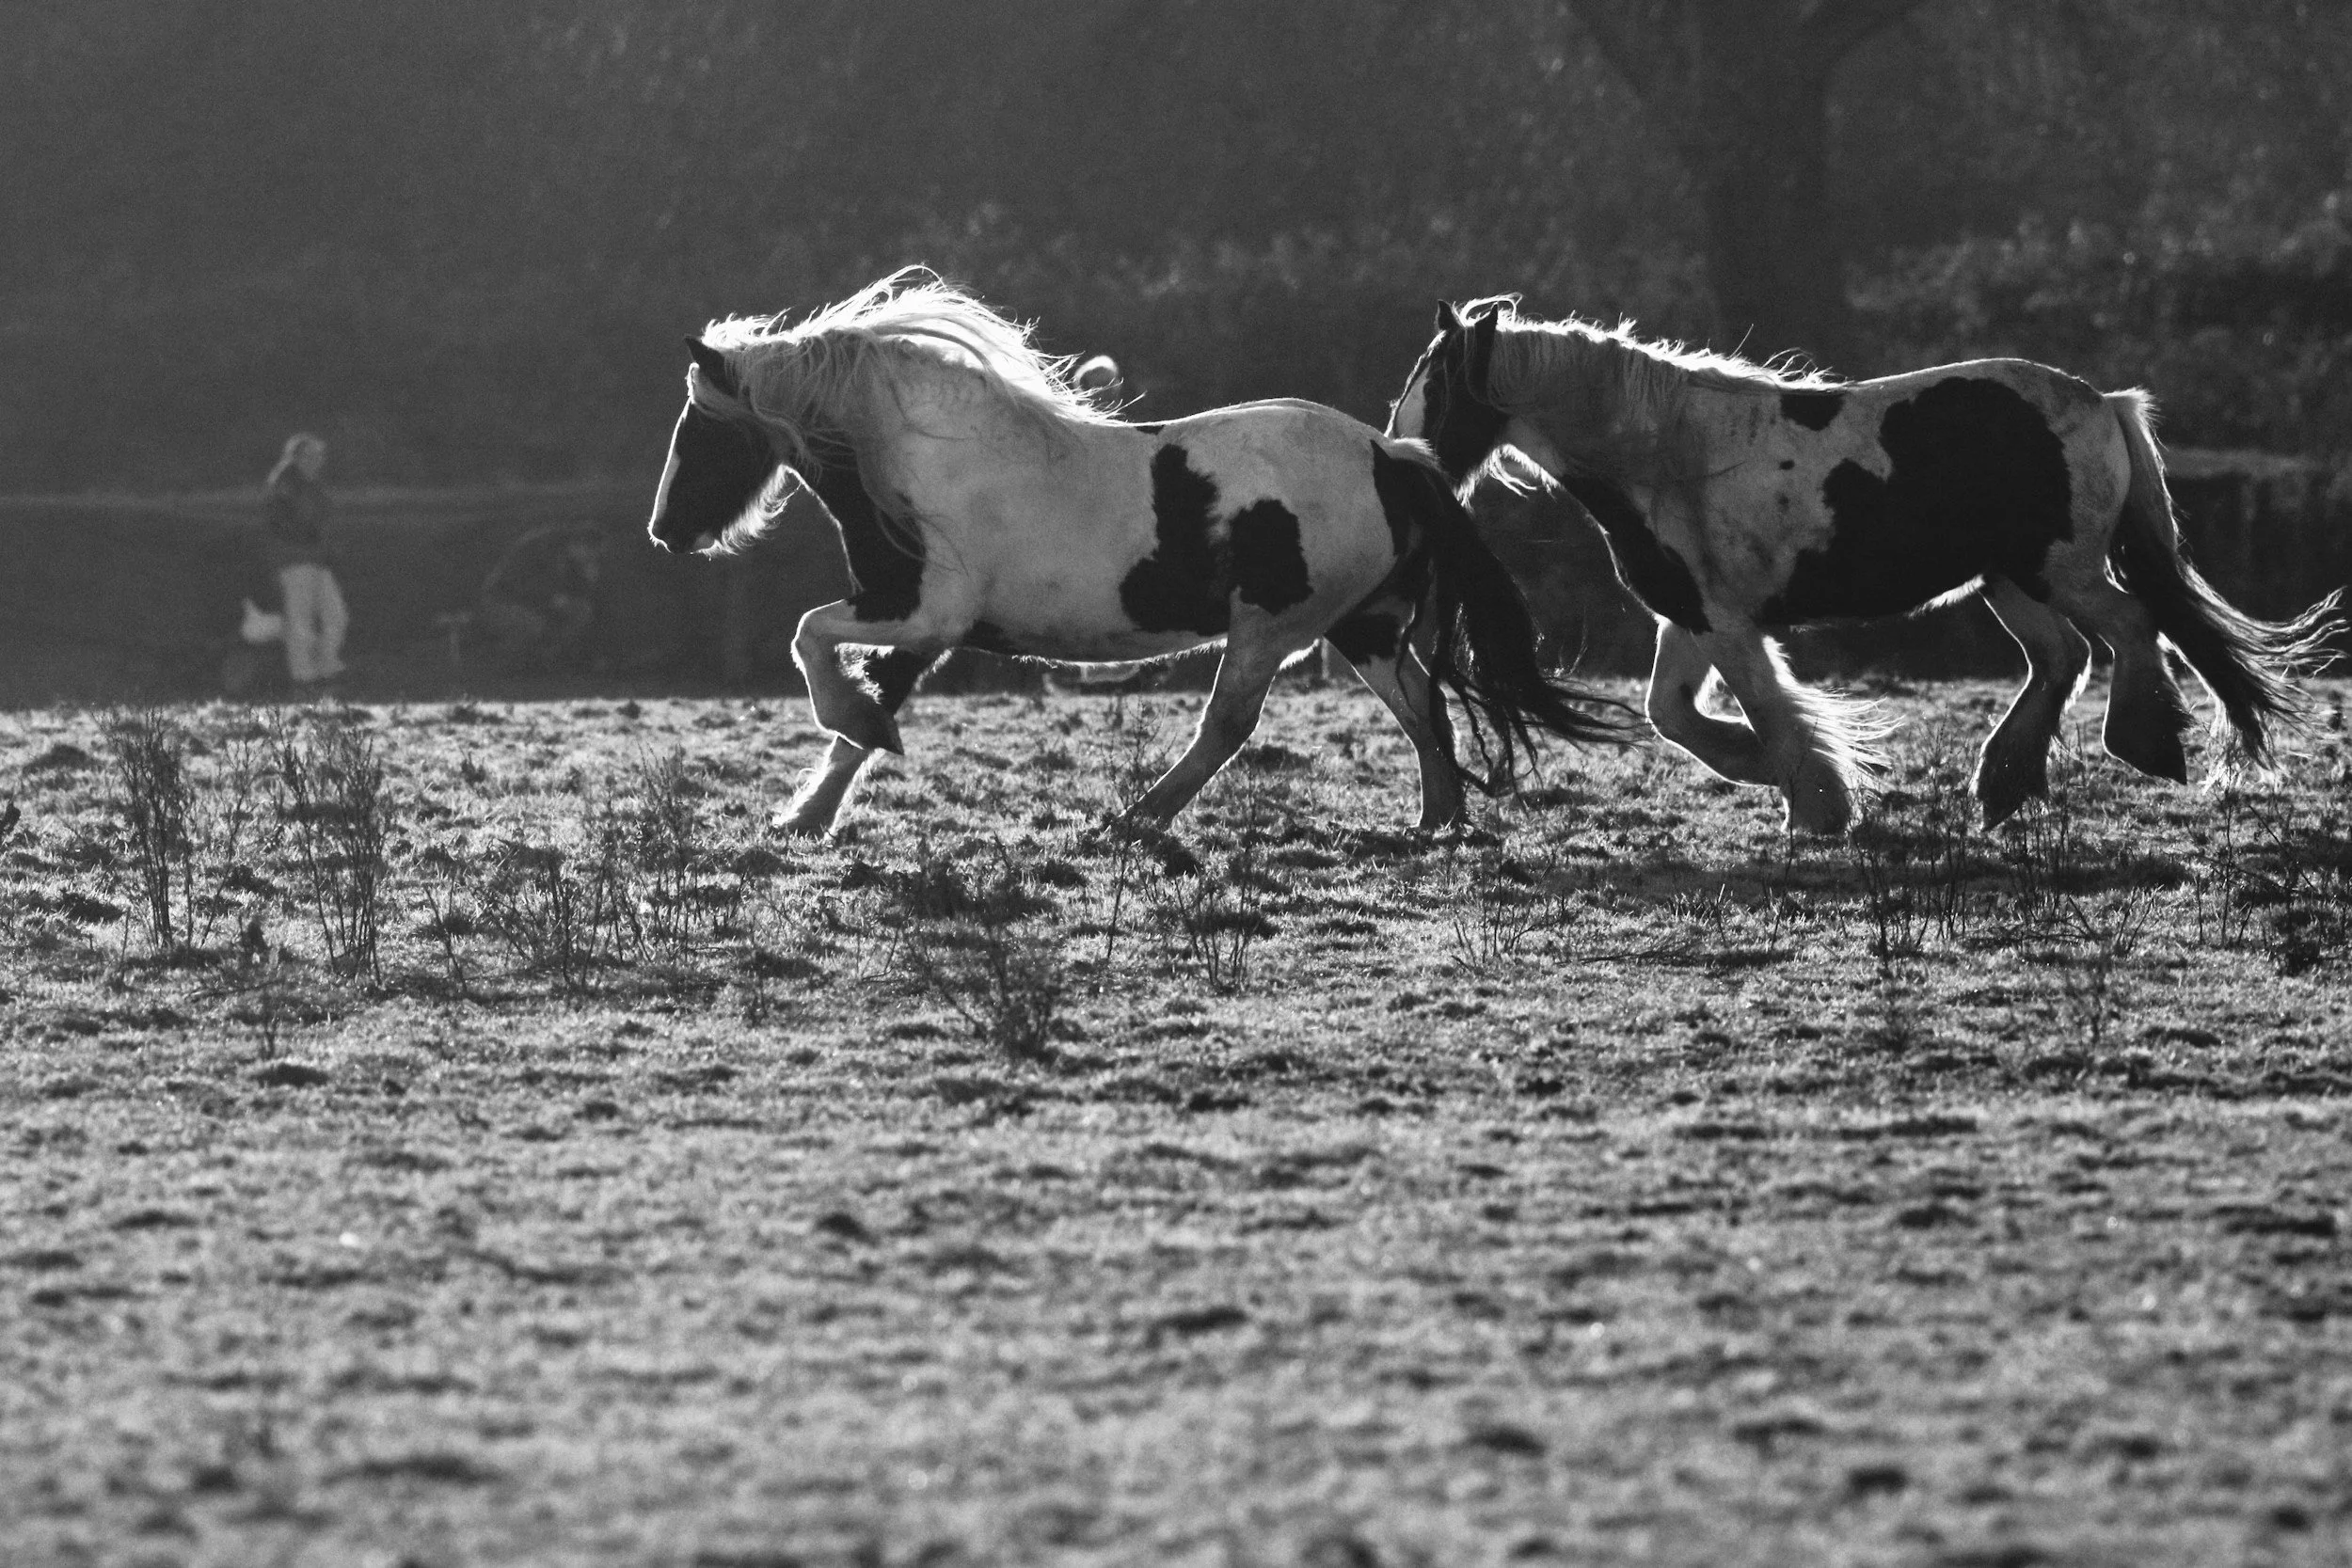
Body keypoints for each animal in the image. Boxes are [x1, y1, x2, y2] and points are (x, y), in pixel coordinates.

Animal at [646, 269, 1630, 835]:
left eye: (697, 428)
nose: (666, 532)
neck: (922, 458)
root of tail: (1397, 458)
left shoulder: (928, 613)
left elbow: (812, 643)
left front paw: (840, 753)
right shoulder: (918, 626)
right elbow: (860, 703)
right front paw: (805, 814)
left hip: (1273, 628)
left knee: (1229, 726)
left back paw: (1134, 820)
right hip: (1366, 628)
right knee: (1424, 709)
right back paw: (1438, 822)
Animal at [1388, 298, 2344, 833]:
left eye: (1435, 387)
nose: (1401, 456)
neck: (1667, 455)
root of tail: (2104, 402)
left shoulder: (1727, 625)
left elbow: (1768, 711)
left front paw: (1817, 803)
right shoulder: (1689, 619)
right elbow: (1673, 716)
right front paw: (1783, 777)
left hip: (2060, 570)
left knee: (2130, 630)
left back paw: (2140, 741)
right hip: (2009, 582)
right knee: (2064, 658)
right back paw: (2004, 785)